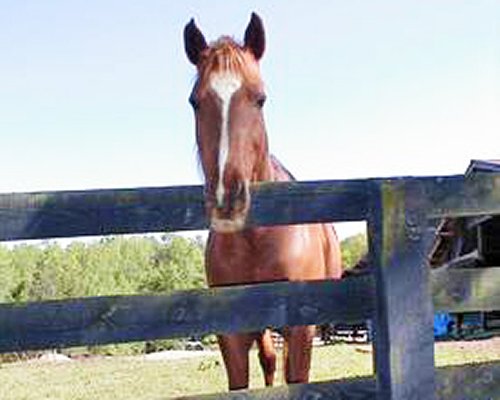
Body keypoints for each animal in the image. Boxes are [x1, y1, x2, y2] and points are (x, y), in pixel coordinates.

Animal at [184, 13, 344, 390]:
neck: (258, 239)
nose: (227, 197)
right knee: (269, 360)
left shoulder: (301, 328)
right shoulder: (232, 333)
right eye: (195, 101)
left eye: (260, 99)